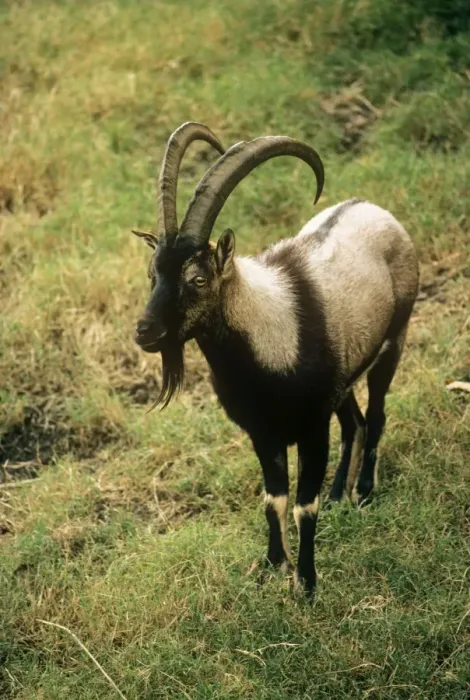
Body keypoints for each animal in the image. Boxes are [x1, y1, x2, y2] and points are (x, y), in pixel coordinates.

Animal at [133, 121, 419, 596]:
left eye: (198, 278)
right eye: (153, 273)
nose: (145, 331)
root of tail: (374, 208)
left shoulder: (310, 428)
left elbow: (304, 505)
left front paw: (307, 583)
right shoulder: (262, 432)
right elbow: (274, 499)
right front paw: (273, 565)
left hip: (393, 340)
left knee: (376, 415)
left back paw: (362, 491)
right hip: (342, 381)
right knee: (354, 422)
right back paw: (340, 493)